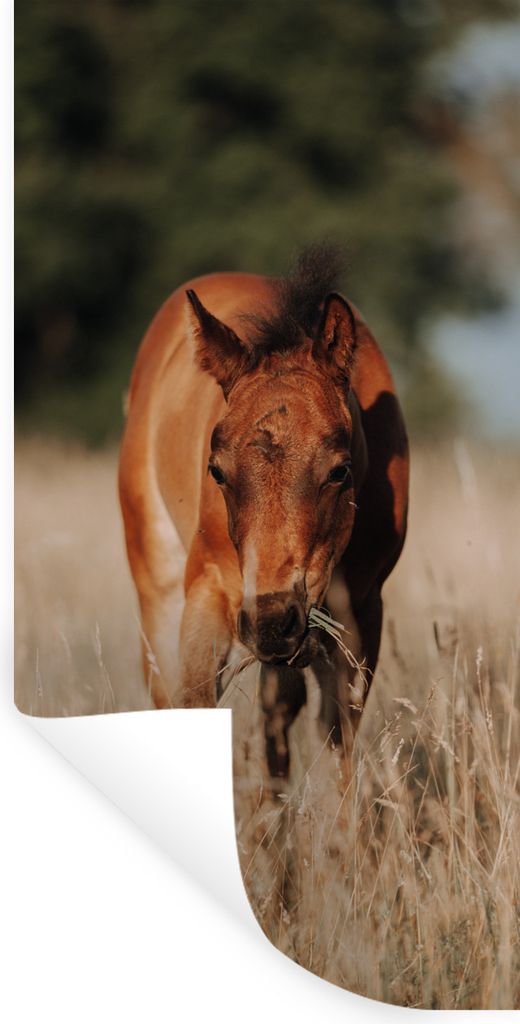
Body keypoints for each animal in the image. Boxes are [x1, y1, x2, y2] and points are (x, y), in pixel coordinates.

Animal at [118, 245, 409, 779]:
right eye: (216, 471)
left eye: (339, 471)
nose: (272, 622)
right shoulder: (209, 590)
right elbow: (196, 703)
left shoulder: (361, 608)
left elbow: (336, 736)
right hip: (157, 579)